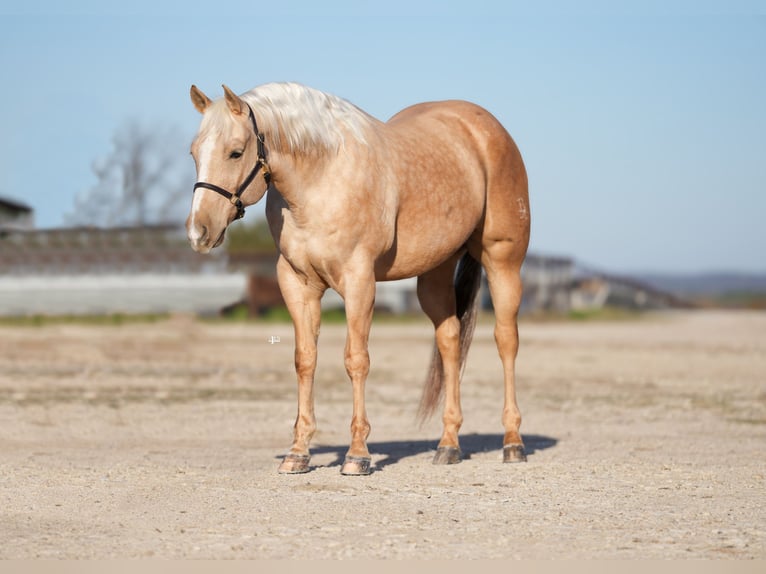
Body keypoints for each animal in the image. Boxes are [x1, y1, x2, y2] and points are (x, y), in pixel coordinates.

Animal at [189, 82, 532, 476]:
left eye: (235, 152)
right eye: (194, 152)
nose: (198, 232)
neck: (322, 178)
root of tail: (485, 128)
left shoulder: (358, 281)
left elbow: (356, 360)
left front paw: (357, 454)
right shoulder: (297, 284)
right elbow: (305, 359)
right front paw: (298, 452)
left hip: (502, 261)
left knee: (506, 341)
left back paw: (513, 442)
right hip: (435, 274)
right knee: (449, 342)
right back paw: (448, 445)